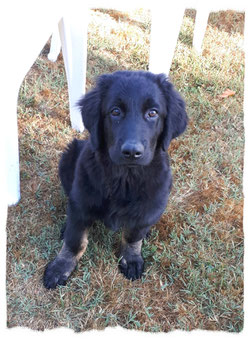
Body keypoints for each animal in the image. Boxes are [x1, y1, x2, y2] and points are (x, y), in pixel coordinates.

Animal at [43, 69, 188, 288]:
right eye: (115, 112)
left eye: (153, 113)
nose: (132, 152)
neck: (124, 178)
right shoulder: (81, 202)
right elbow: (75, 240)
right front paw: (62, 266)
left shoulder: (150, 205)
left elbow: (133, 236)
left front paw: (132, 259)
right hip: (68, 158)